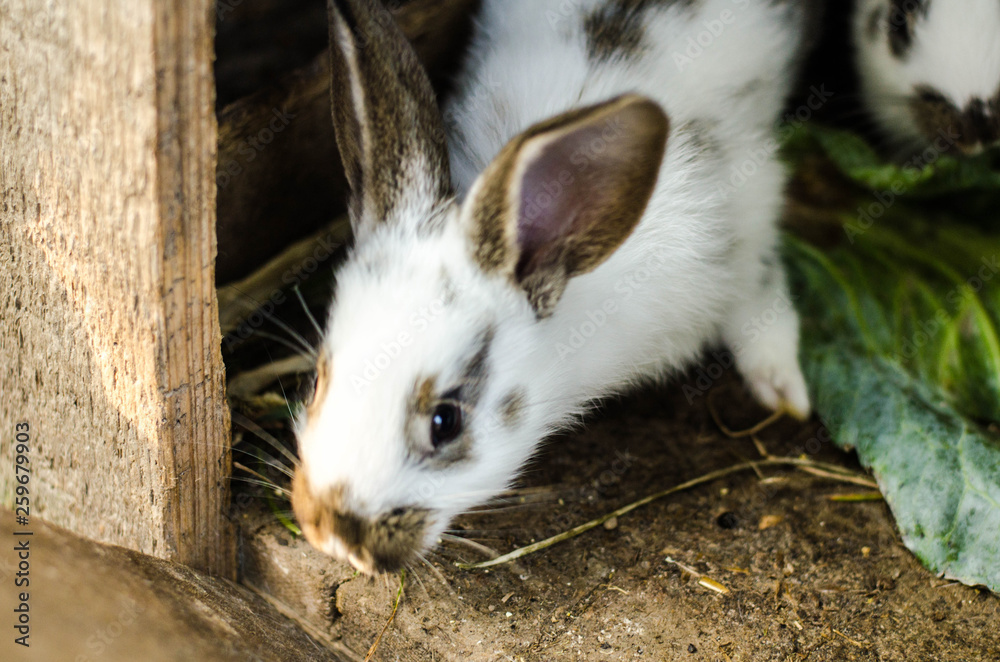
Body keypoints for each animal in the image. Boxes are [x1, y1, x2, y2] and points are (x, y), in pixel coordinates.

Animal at [291, 0, 812, 575]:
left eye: (445, 422)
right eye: (317, 381)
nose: (330, 536)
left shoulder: (748, 215)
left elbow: (763, 296)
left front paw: (783, 389)